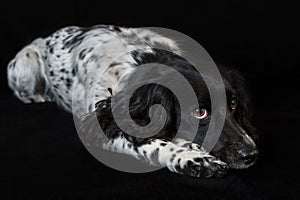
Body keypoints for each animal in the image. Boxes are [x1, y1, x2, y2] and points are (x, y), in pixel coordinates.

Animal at [6, 24, 258, 177]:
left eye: (233, 104)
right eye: (199, 112)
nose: (250, 154)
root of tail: (47, 37)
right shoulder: (99, 123)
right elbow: (149, 142)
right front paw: (192, 157)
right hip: (25, 63)